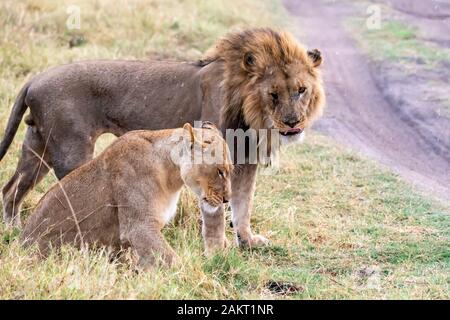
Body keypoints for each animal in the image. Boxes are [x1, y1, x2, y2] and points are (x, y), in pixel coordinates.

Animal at [0, 28, 324, 248]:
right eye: (273, 94)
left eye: (301, 90)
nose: (293, 123)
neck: (251, 113)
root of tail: (35, 78)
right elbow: (219, 207)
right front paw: (220, 246)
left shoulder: (246, 160)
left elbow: (244, 204)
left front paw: (247, 241)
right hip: (71, 150)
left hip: (38, 147)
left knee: (11, 189)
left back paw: (13, 230)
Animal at [21, 121, 232, 266]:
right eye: (220, 171)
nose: (226, 200)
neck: (172, 174)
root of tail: (20, 242)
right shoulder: (139, 227)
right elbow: (172, 261)